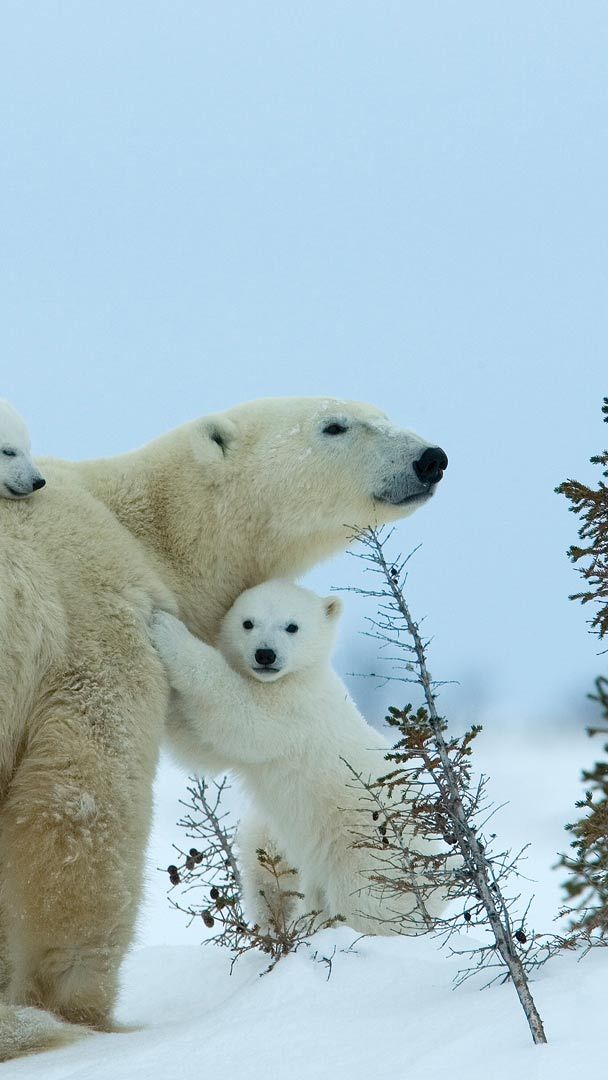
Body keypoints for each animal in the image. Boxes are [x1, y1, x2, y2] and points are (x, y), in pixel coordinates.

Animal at [152, 583, 447, 937]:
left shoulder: (296, 709)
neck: (300, 675)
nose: (265, 654)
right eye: (248, 622)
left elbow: (241, 713)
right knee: (264, 861)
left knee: (364, 904)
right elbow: (200, 745)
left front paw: (166, 628)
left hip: (370, 853)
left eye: (292, 626)